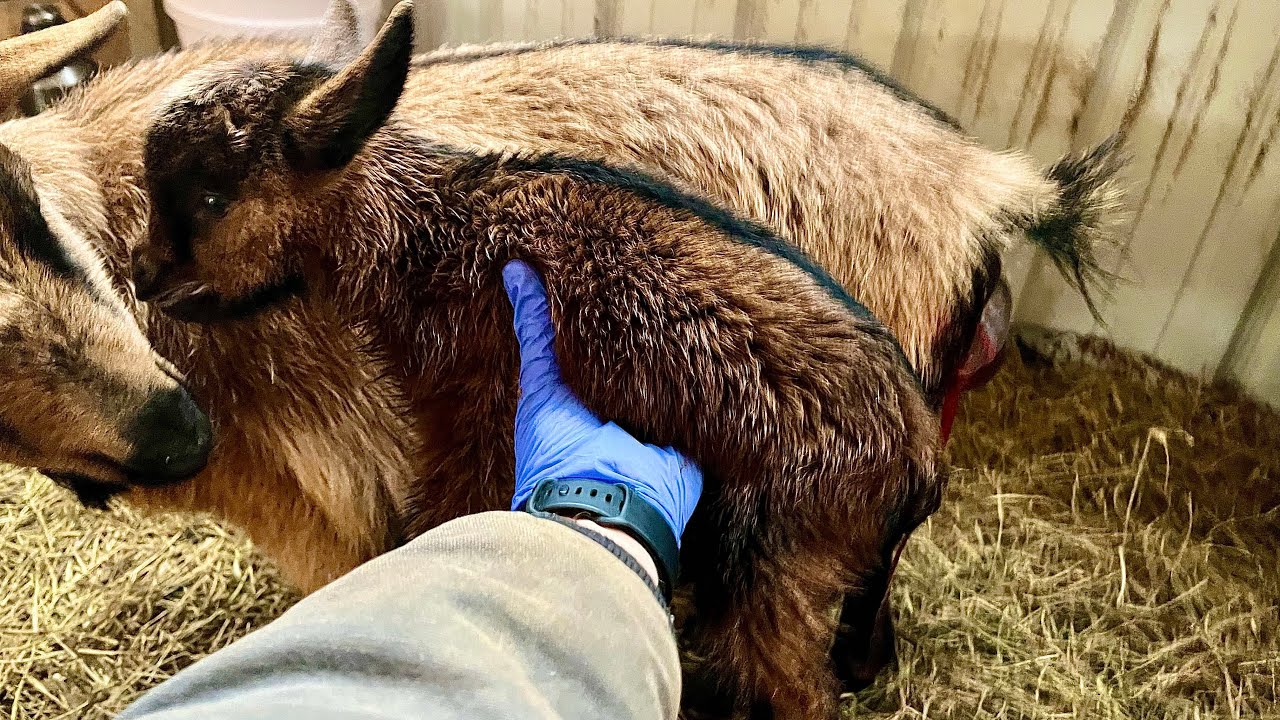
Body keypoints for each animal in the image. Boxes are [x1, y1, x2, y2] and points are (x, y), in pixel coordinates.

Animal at [134, 6, 945, 718]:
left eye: (212, 198)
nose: (141, 276)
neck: (431, 234)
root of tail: (921, 460)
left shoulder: (478, 409)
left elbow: (450, 513)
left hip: (775, 560)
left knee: (795, 691)